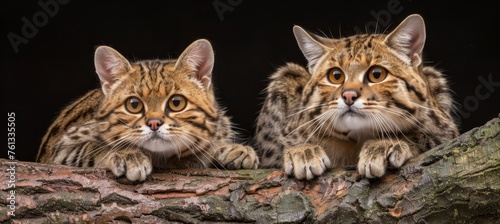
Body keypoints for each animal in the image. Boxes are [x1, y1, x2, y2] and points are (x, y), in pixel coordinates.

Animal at [37, 39, 260, 181]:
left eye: (176, 103)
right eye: (133, 105)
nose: (154, 123)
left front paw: (230, 149)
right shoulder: (61, 150)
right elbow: (93, 146)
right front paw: (126, 154)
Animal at [256, 14, 458, 179]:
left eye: (377, 74)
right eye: (335, 76)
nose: (348, 95)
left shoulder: (446, 131)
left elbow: (421, 136)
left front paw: (385, 144)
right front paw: (303, 150)